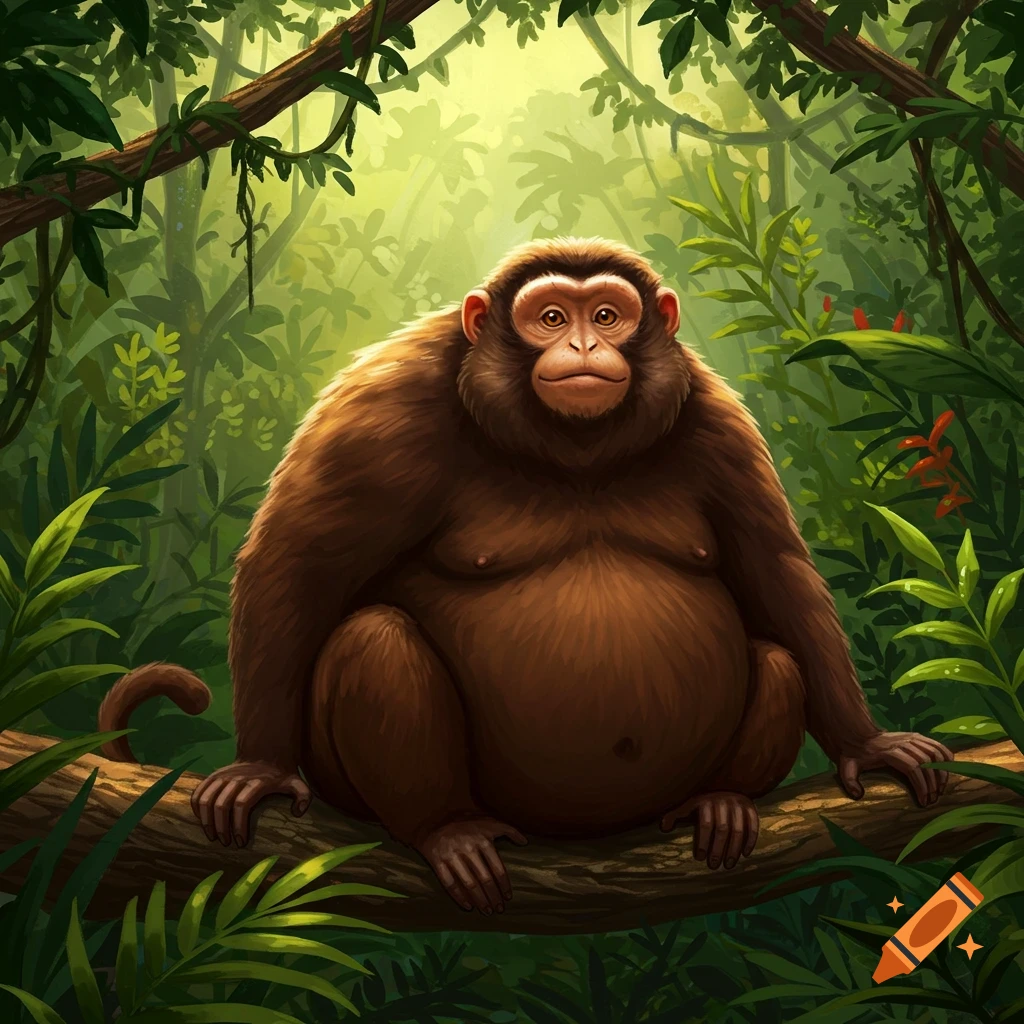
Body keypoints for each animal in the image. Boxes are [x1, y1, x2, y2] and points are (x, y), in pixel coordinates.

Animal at [99, 237, 953, 916]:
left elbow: (776, 573)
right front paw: (262, 768)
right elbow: (297, 563)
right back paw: (447, 830)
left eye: (605, 316)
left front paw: (867, 742)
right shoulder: (389, 403)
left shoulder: (712, 416)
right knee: (372, 637)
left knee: (776, 658)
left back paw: (719, 802)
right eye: (548, 318)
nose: (580, 346)